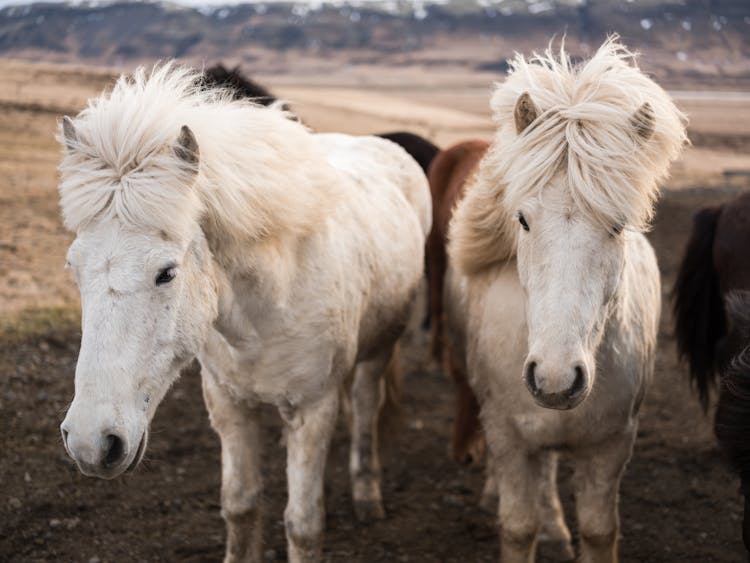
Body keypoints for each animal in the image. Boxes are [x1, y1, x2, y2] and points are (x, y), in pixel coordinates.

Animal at [55, 64, 432, 560]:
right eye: (74, 268)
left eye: (166, 273)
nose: (91, 443)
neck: (264, 313)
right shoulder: (228, 404)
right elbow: (240, 506)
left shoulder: (313, 410)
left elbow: (303, 526)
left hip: (380, 348)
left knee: (367, 406)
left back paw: (367, 496)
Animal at [446, 39, 688, 563]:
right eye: (522, 220)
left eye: (618, 224)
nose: (556, 379)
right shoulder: (509, 438)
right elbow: (518, 526)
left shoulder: (612, 445)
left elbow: (599, 529)